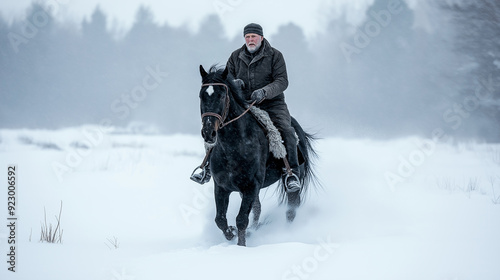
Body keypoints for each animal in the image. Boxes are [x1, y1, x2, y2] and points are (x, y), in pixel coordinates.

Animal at [198, 64, 318, 246]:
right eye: (201, 96)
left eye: (221, 95)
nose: (208, 132)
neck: (234, 145)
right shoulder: (222, 187)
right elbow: (220, 220)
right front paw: (233, 234)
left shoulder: (251, 186)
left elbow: (241, 219)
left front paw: (240, 245)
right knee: (258, 209)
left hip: (292, 182)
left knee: (291, 209)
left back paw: (286, 234)